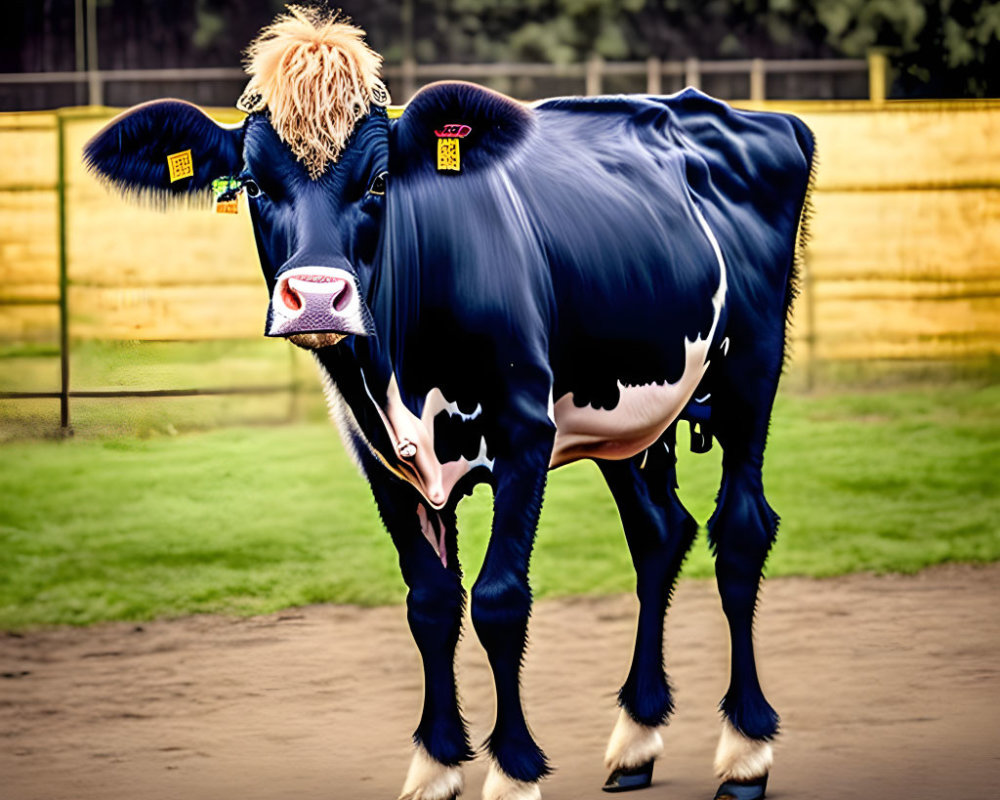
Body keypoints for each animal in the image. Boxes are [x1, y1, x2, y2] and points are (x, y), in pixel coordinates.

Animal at [86, 6, 816, 800]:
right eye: (249, 183)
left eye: (379, 181)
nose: (318, 296)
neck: (396, 367)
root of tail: (741, 113)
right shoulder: (378, 457)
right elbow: (431, 604)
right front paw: (436, 763)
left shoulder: (525, 433)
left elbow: (500, 599)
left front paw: (514, 768)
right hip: (626, 413)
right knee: (660, 534)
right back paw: (637, 736)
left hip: (751, 369)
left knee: (740, 530)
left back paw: (746, 749)